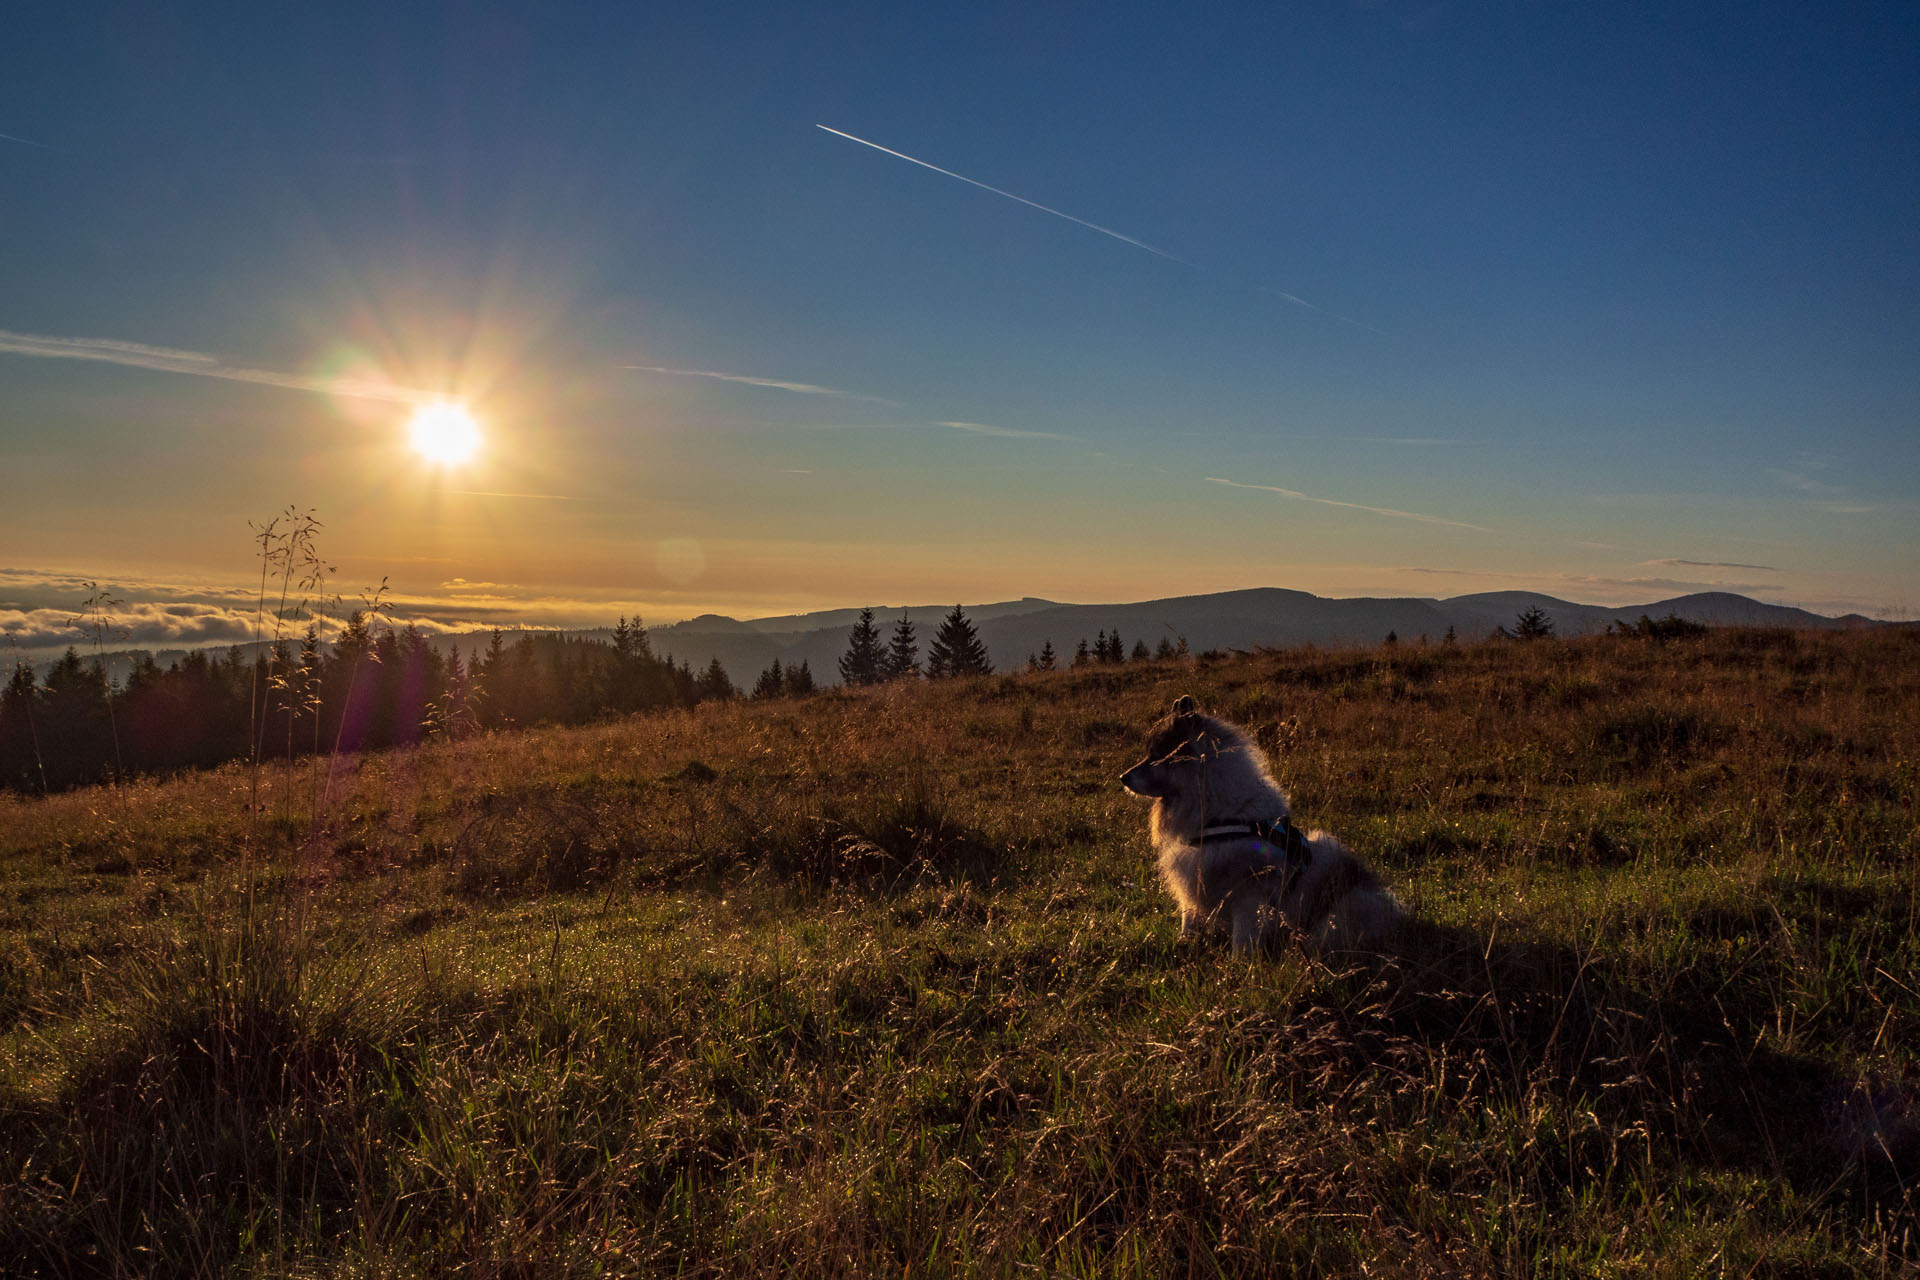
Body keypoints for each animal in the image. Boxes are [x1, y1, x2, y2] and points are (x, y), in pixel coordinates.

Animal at [1121, 694, 1405, 955]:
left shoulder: (1250, 895)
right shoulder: (1193, 881)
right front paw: (1184, 947)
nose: (1123, 777)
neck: (1220, 814)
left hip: (1341, 899)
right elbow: (1189, 922)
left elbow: (1243, 936)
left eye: (1156, 756)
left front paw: (1239, 965)